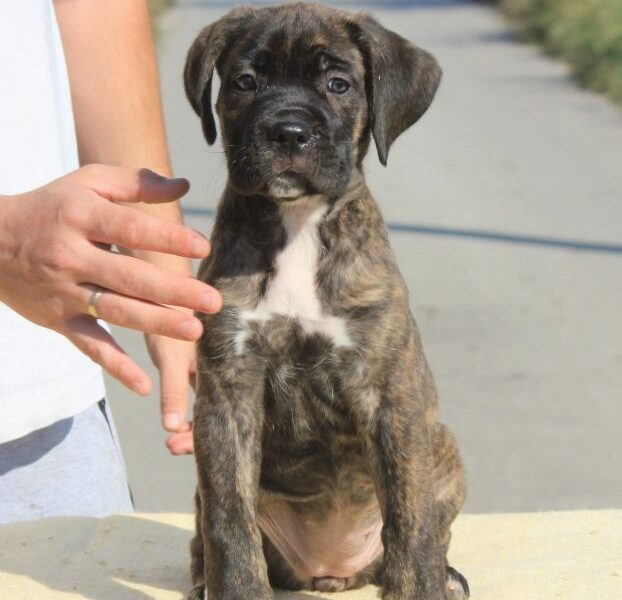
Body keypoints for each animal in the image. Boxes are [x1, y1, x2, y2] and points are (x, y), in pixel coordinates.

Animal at [188, 4, 470, 600]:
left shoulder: (390, 396)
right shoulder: (226, 395)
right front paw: (237, 588)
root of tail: (334, 573)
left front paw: (420, 586)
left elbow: (410, 519)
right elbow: (229, 520)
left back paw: (446, 576)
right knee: (206, 529)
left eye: (339, 85)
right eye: (245, 82)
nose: (288, 132)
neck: (299, 223)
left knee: (429, 528)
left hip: (444, 445)